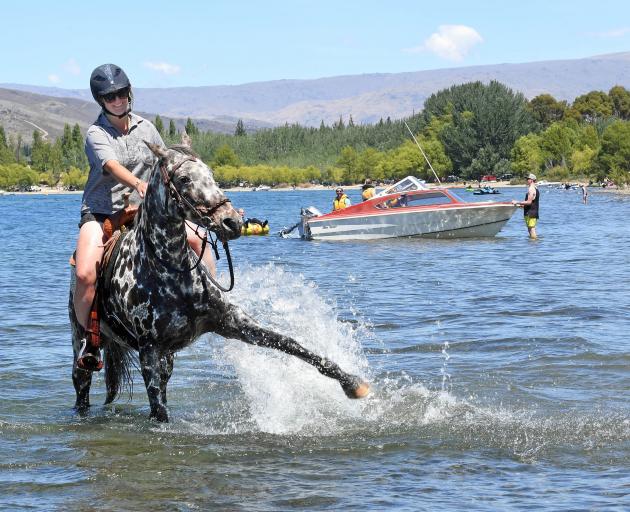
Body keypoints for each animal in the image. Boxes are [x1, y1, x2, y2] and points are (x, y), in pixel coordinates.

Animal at [68, 138, 370, 422]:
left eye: (211, 173)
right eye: (184, 178)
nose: (232, 222)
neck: (170, 271)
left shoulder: (231, 322)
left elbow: (290, 343)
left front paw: (353, 383)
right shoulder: (149, 350)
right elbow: (159, 411)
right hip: (83, 341)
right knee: (81, 383)